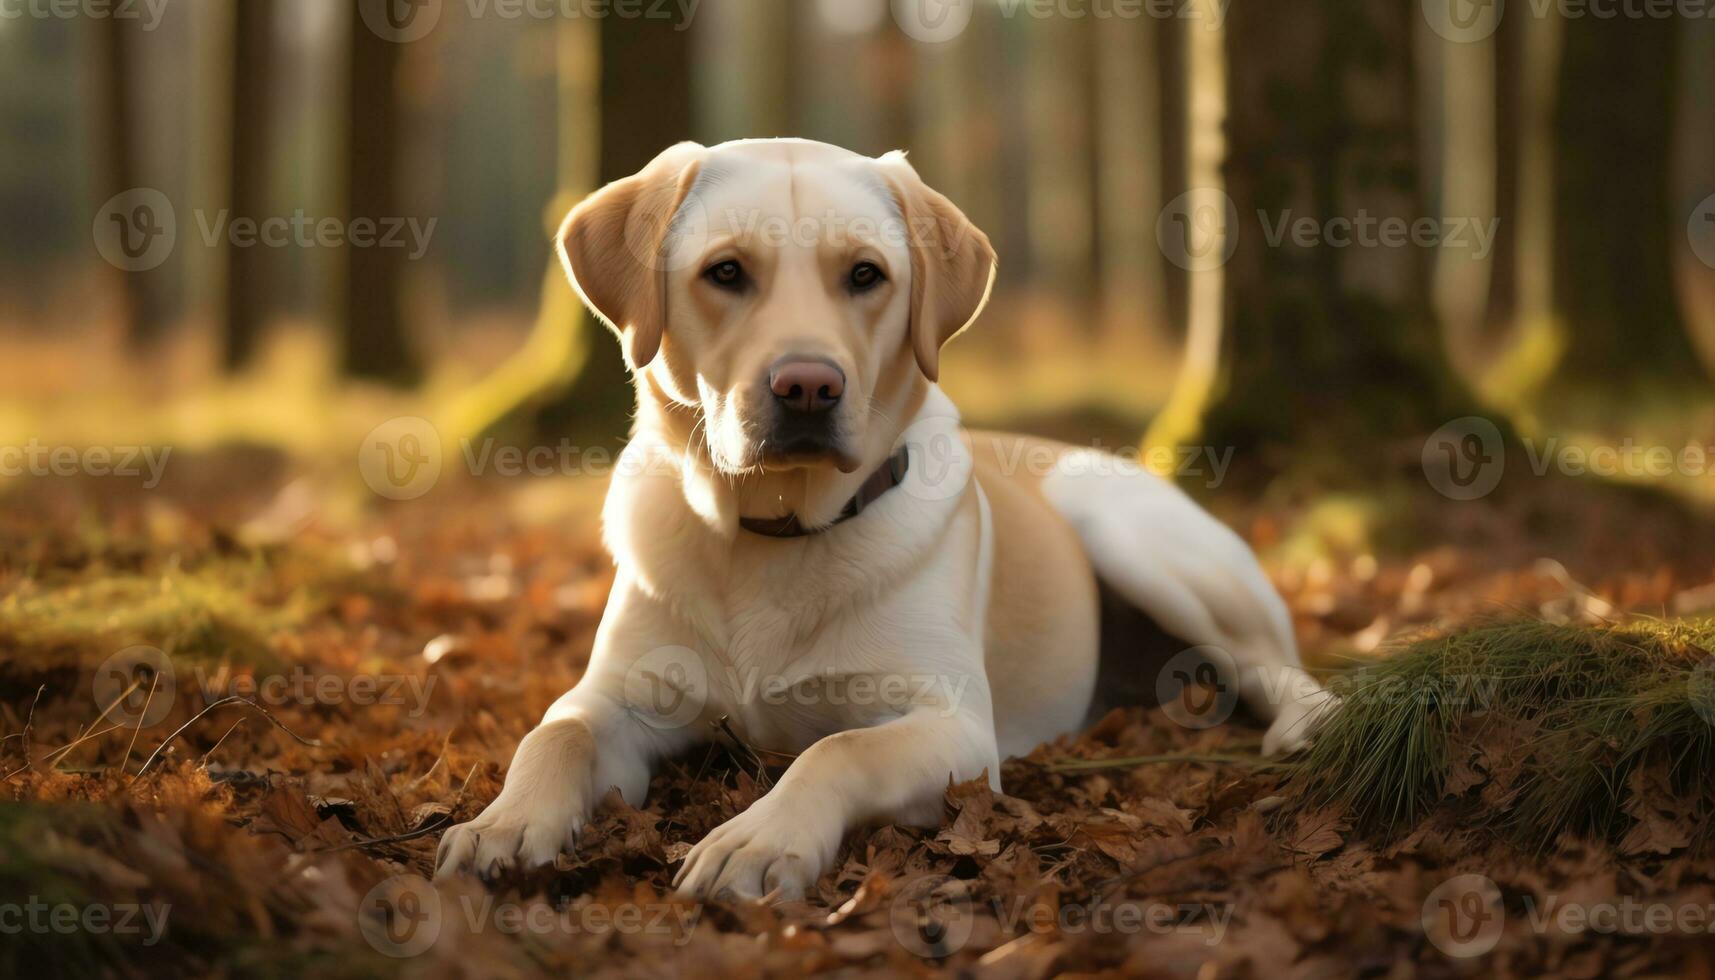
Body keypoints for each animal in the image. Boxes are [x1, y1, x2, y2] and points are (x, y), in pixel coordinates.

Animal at [435, 139, 1330, 906]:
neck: (772, 529)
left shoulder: (953, 726)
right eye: (725, 271)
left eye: (865, 275)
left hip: (1128, 532)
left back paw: (1301, 728)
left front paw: (756, 841)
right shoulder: (620, 696)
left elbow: (836, 748)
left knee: (1276, 665)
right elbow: (554, 733)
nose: (806, 387)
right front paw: (503, 824)